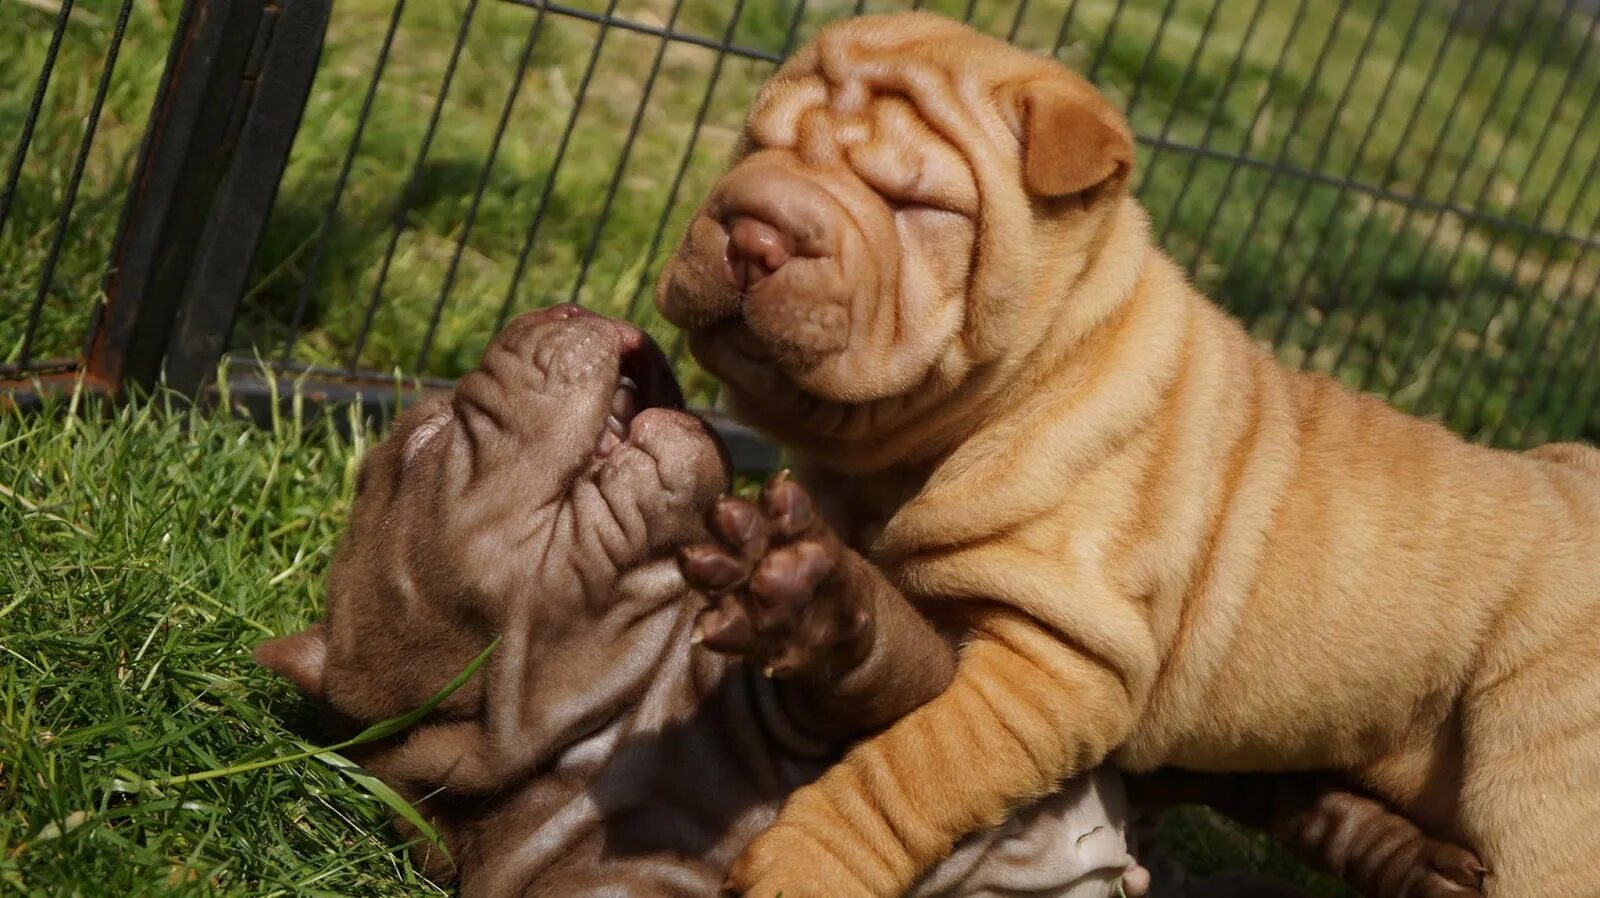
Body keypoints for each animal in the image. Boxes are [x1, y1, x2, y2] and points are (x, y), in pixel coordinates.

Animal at [652, 12, 1600, 896]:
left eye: (916, 207)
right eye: (755, 144)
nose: (754, 231)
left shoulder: (1060, 657)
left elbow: (914, 765)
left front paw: (806, 864)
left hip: (1541, 788)